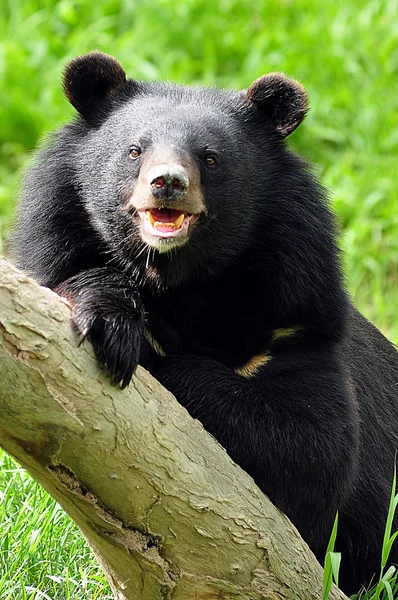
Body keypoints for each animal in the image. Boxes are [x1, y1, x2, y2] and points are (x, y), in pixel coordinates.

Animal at [12, 52, 398, 596]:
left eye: (210, 159)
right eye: (135, 151)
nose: (168, 183)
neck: (179, 280)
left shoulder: (297, 321)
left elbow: (312, 448)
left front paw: (158, 354)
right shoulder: (58, 238)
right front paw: (114, 326)